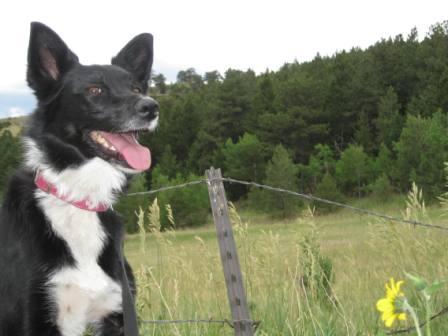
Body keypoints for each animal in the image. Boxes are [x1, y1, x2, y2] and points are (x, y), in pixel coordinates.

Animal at [0, 22, 159, 334]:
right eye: (95, 90)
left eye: (136, 88)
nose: (151, 107)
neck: (78, 198)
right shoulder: (33, 317)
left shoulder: (117, 313)